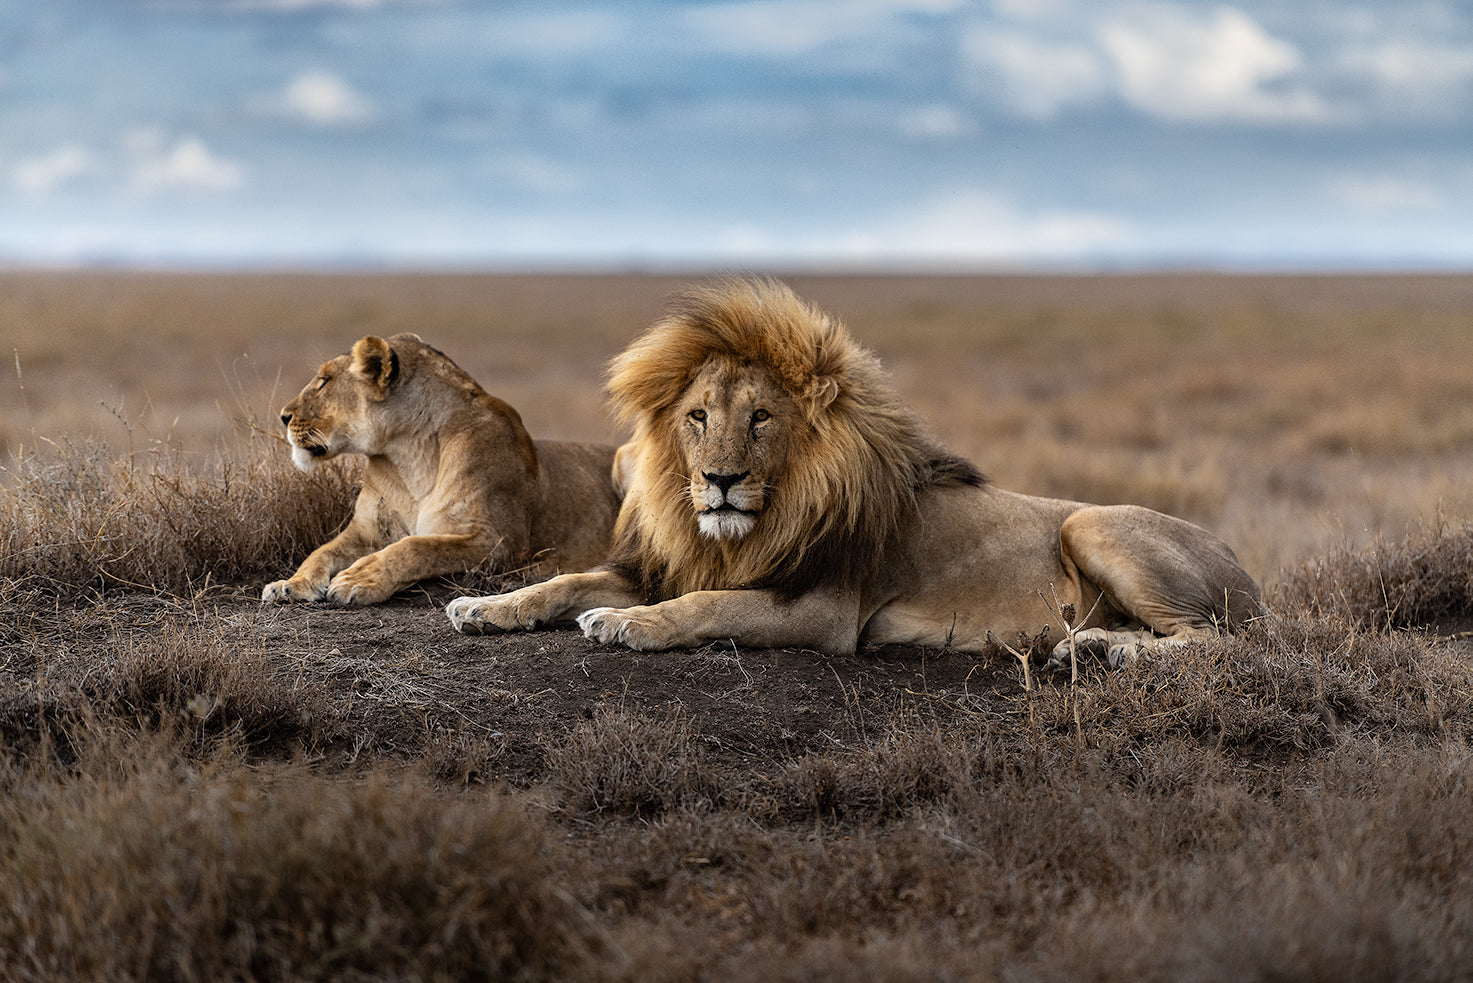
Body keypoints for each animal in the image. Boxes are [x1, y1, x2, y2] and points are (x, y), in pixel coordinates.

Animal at [262, 332, 622, 606]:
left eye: (324, 382)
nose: (283, 416)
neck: (407, 458)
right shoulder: (365, 531)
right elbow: (320, 551)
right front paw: (291, 583)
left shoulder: (497, 542)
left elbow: (417, 548)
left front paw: (359, 578)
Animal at [445, 278, 1263, 666]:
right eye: (697, 417)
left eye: (761, 418)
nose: (718, 481)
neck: (740, 532)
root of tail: (1245, 569)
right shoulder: (667, 564)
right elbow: (562, 580)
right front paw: (486, 606)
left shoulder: (822, 609)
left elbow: (702, 608)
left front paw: (626, 625)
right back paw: (1093, 643)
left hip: (1091, 523)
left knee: (1224, 642)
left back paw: (1111, 651)